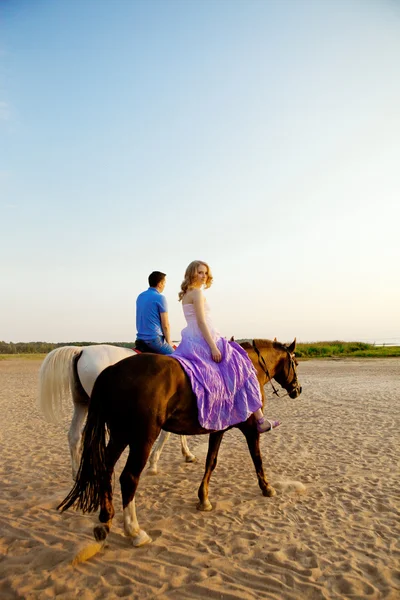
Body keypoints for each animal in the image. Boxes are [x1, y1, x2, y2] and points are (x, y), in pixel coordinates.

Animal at [38, 344, 195, 480]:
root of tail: (81, 350)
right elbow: (167, 434)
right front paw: (153, 465)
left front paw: (187, 454)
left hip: (82, 403)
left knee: (75, 435)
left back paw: (77, 474)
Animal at [58, 338, 300, 548]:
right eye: (295, 363)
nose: (297, 390)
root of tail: (112, 371)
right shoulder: (250, 429)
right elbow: (257, 458)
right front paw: (267, 487)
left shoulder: (218, 429)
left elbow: (211, 461)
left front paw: (203, 498)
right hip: (141, 437)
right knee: (128, 478)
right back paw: (134, 531)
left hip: (119, 434)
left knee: (104, 466)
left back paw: (105, 519)